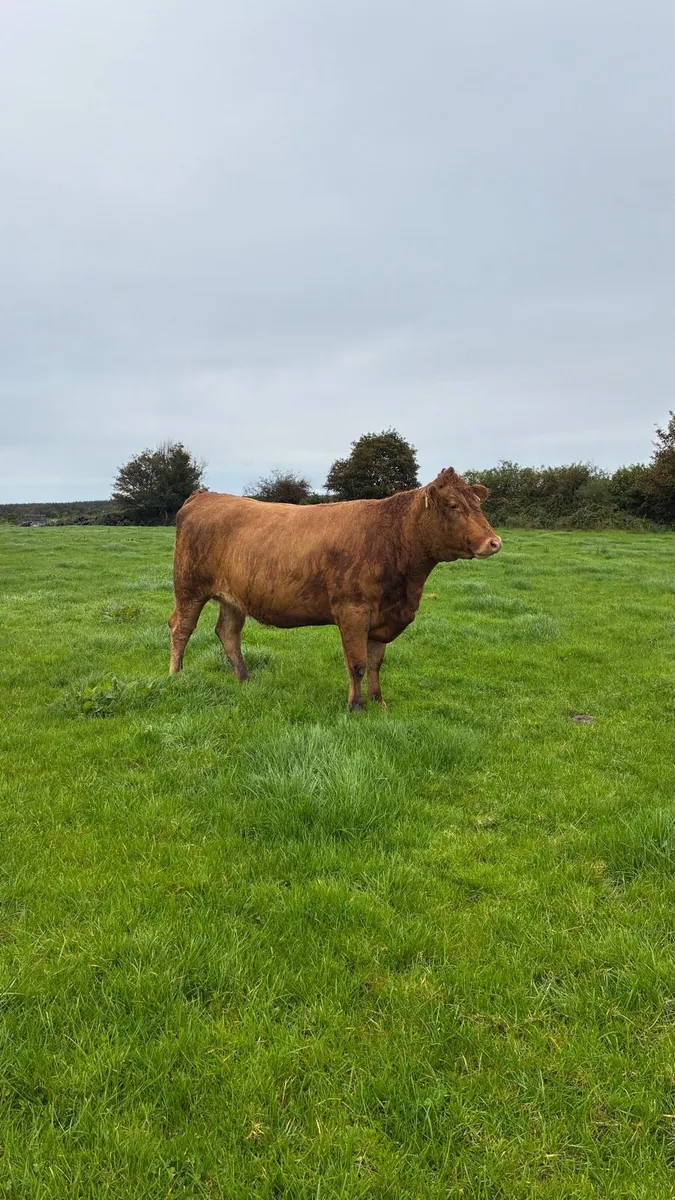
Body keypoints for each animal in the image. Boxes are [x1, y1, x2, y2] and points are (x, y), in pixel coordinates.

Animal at [168, 468, 501, 710]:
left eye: (478, 504)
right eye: (454, 505)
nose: (494, 542)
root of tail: (205, 496)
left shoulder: (383, 616)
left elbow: (376, 663)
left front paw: (379, 703)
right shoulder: (352, 611)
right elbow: (357, 663)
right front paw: (356, 707)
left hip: (233, 597)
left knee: (228, 632)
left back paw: (244, 678)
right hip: (188, 587)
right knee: (180, 628)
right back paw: (175, 675)